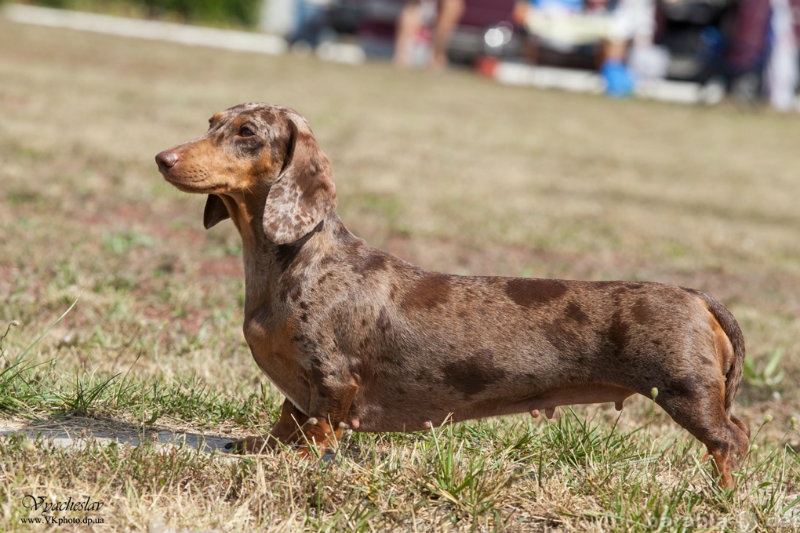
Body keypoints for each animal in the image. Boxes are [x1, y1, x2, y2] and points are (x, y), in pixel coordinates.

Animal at [156, 101, 752, 486]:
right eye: (211, 123)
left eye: (247, 132)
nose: (163, 158)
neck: (295, 258)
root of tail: (697, 296)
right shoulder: (299, 385)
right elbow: (288, 415)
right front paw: (265, 446)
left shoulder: (331, 377)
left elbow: (319, 426)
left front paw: (293, 462)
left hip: (685, 391)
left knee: (732, 439)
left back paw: (718, 497)